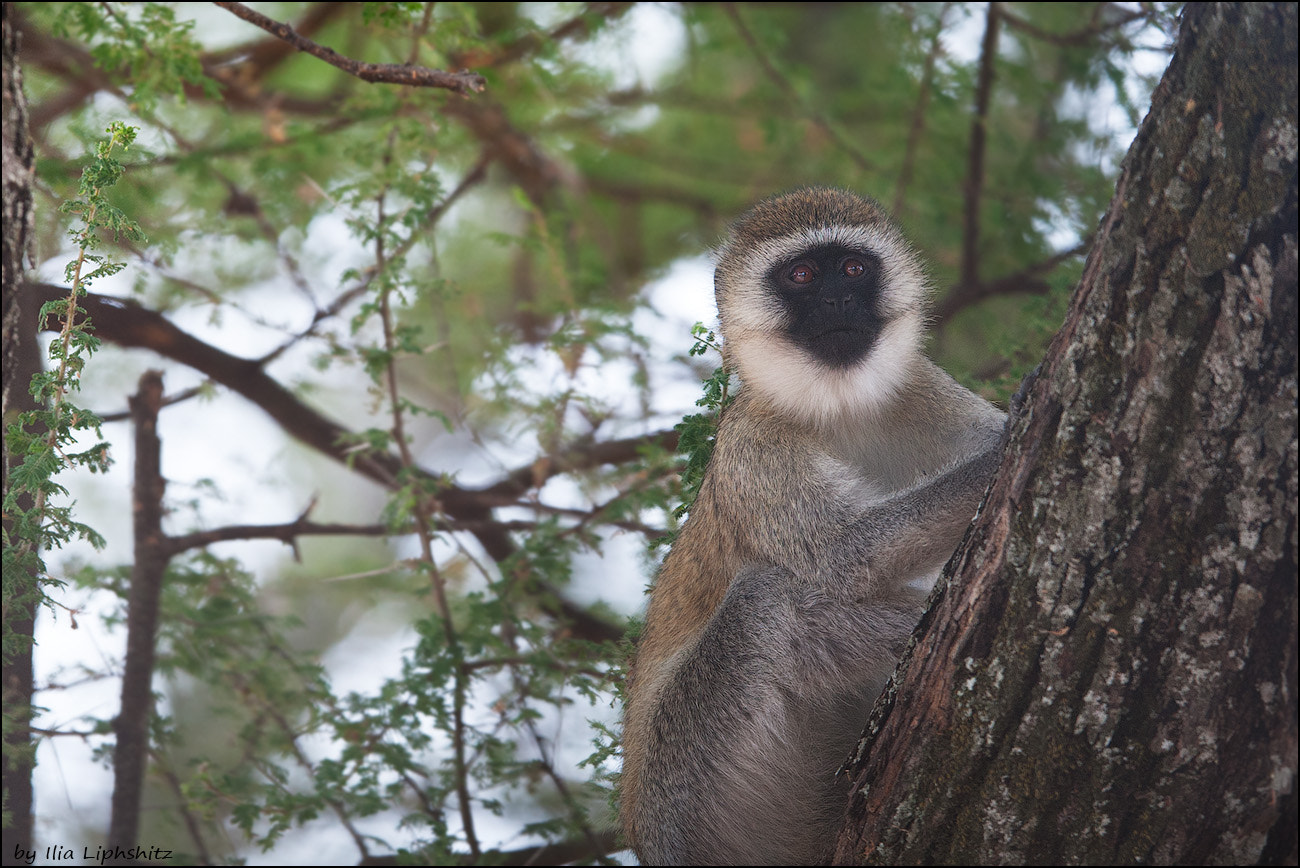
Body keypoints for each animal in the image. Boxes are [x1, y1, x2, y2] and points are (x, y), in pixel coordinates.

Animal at [618, 189, 1003, 868]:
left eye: (852, 269)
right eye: (801, 276)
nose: (838, 303)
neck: (839, 407)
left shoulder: (925, 389)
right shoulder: (753, 446)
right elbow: (845, 556)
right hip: (688, 792)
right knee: (764, 602)